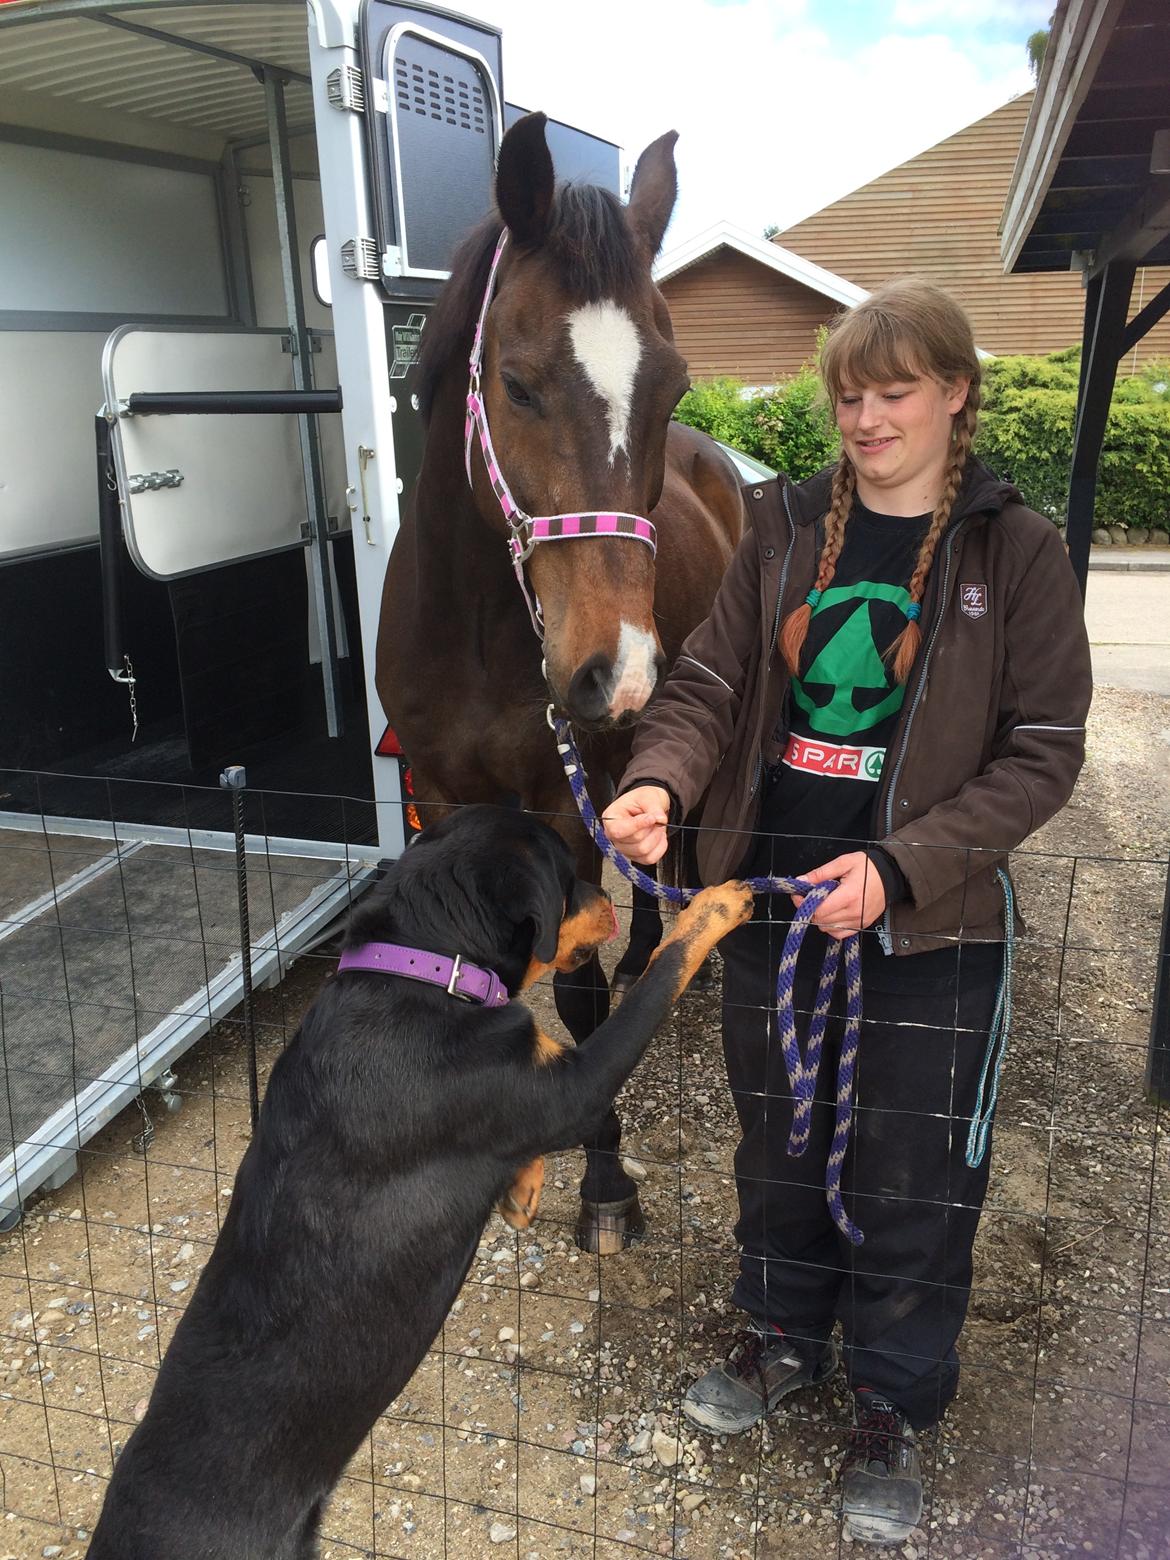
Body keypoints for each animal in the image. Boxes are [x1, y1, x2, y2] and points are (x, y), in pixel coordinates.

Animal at [89, 804, 751, 1560]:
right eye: (567, 876)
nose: (612, 899)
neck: (427, 967)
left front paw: (521, 1190)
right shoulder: (572, 1088)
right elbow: (659, 976)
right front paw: (714, 905)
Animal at [375, 109, 745, 1254]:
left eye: (672, 388)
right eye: (519, 382)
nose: (616, 674)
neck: (480, 633)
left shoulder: (567, 804)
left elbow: (576, 999)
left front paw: (606, 1180)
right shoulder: (444, 797)